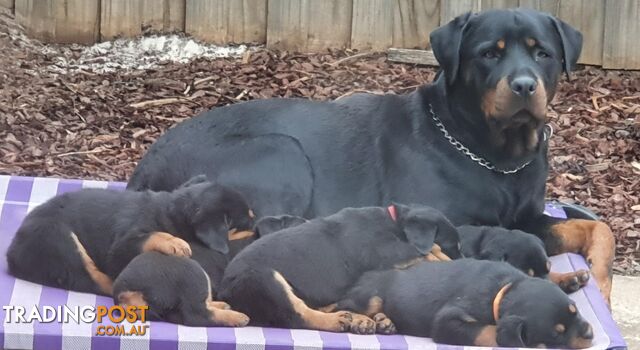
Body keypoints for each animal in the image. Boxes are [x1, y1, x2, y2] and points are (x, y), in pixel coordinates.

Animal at [6, 175, 255, 296]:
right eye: (247, 221)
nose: (258, 228)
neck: (171, 211)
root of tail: (12, 253)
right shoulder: (121, 246)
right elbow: (150, 235)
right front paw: (174, 243)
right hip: (59, 238)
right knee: (90, 279)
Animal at [218, 205, 462, 334]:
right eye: (454, 246)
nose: (465, 260)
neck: (395, 223)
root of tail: (224, 291)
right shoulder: (388, 252)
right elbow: (425, 252)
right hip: (264, 276)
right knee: (297, 315)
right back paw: (338, 321)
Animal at [338, 258, 592, 348]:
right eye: (556, 334)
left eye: (575, 309)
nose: (590, 334)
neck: (503, 290)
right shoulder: (447, 321)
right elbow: (486, 332)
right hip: (371, 297)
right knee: (340, 306)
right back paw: (365, 321)